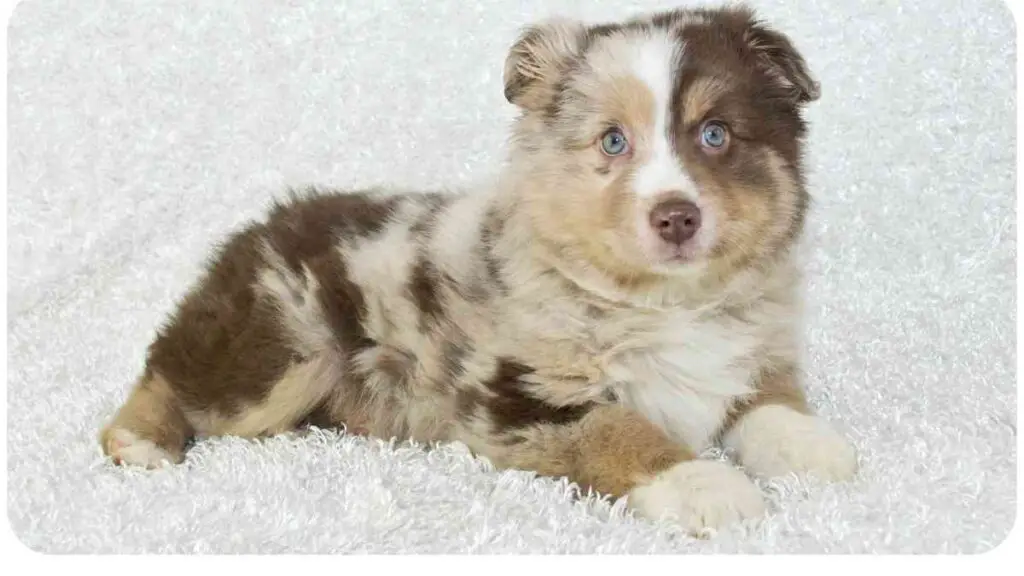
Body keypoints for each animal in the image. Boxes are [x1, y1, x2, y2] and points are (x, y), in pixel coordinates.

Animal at [101, 5, 856, 532]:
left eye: (715, 134)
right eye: (613, 142)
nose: (677, 217)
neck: (665, 304)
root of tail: (263, 223)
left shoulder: (750, 352)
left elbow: (769, 405)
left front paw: (815, 449)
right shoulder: (515, 398)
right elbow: (622, 429)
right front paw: (706, 486)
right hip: (283, 347)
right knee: (169, 369)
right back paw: (138, 439)